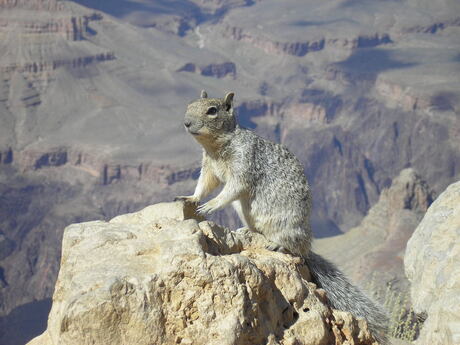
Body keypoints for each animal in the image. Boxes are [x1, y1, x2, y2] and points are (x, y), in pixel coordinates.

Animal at [176, 90, 388, 342]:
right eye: (189, 105)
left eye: (212, 110)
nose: (186, 122)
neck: (216, 147)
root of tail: (307, 247)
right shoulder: (209, 168)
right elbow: (204, 184)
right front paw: (190, 198)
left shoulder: (244, 163)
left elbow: (233, 188)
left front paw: (210, 205)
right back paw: (247, 230)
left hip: (287, 226)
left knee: (293, 247)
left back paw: (278, 245)